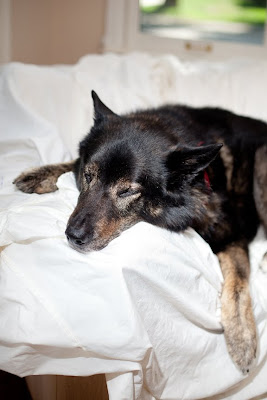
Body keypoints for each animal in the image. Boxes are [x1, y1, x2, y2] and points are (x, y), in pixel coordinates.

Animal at [14, 92, 267, 374]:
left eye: (126, 191)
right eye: (88, 176)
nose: (73, 236)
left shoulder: (232, 235)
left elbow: (238, 282)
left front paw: (242, 335)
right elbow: (72, 161)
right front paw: (41, 173)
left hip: (262, 162)